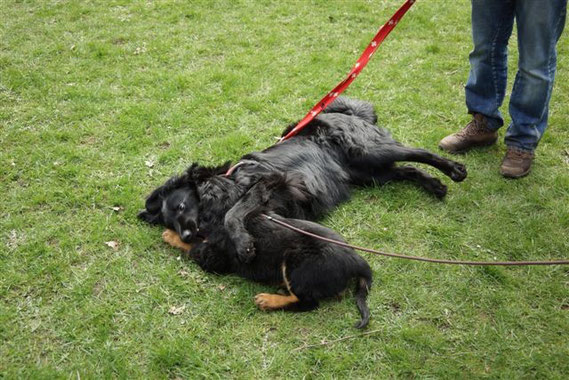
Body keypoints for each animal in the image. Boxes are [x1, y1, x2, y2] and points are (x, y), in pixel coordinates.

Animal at [160, 174, 372, 328]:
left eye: (182, 206)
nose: (184, 234)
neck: (225, 205)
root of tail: (357, 261)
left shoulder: (214, 256)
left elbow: (194, 246)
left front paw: (170, 236)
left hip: (295, 263)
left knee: (307, 303)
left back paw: (268, 300)